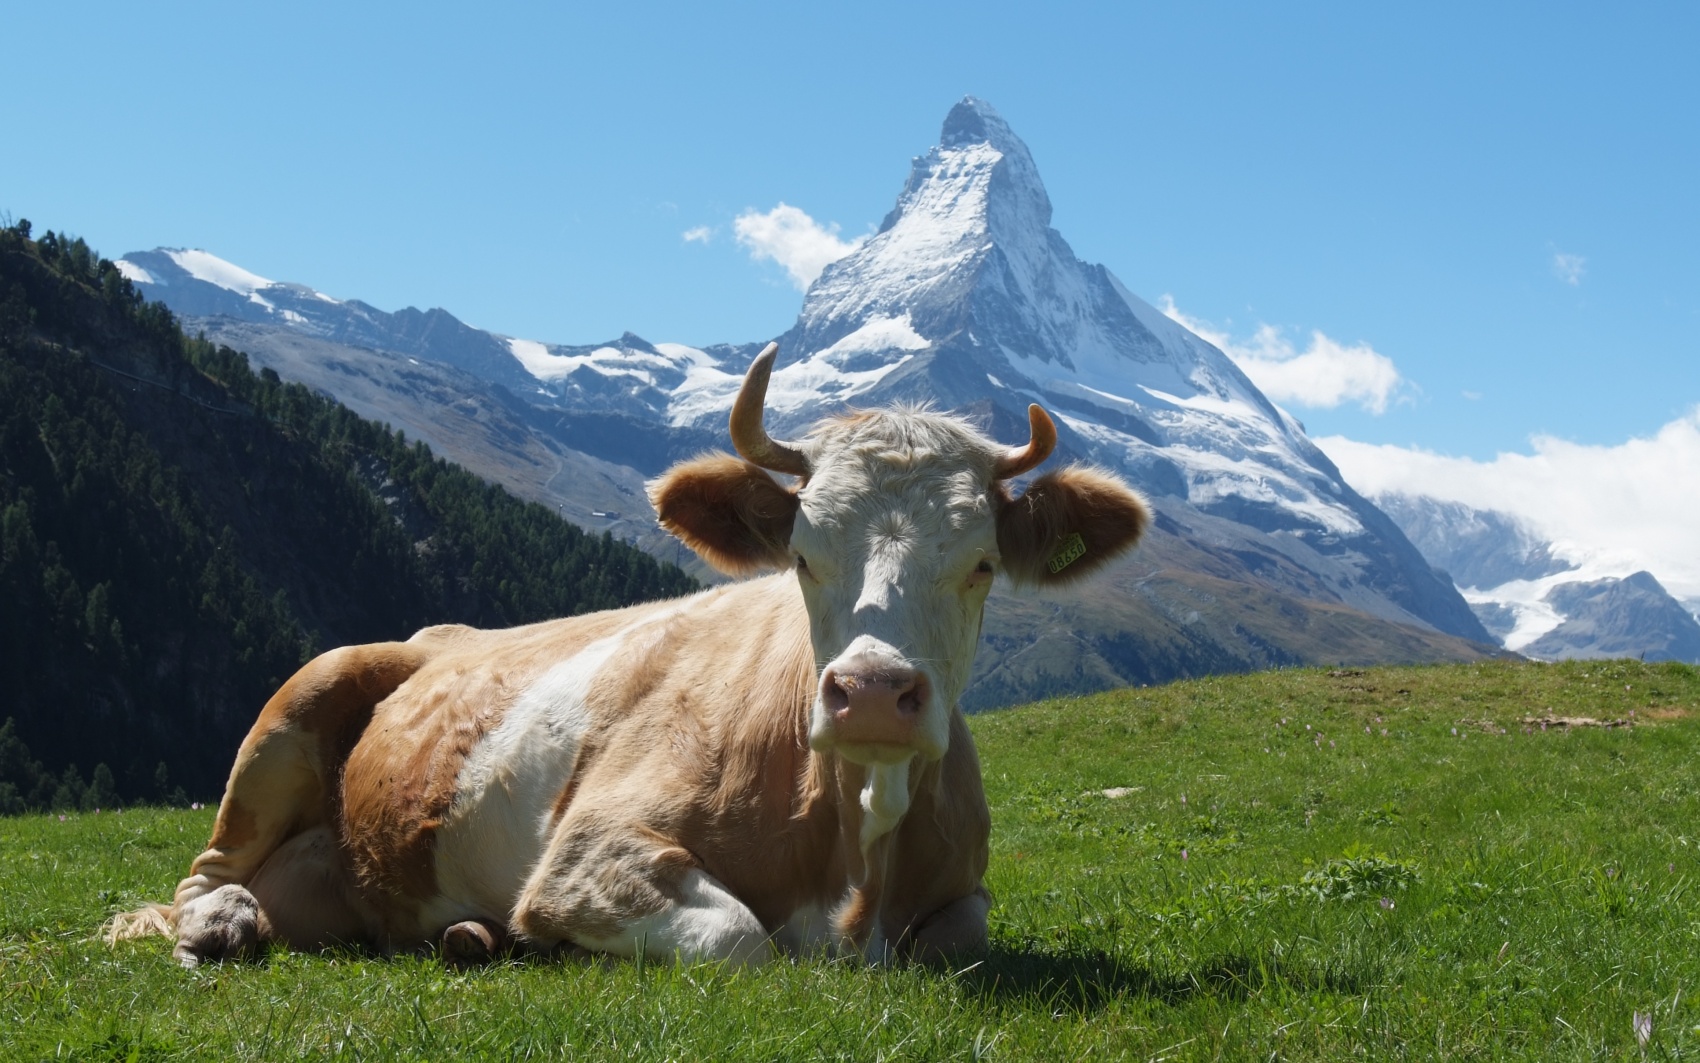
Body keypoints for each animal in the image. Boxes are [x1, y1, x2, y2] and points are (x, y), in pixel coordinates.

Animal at [109, 343, 1156, 966]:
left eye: (981, 564)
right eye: (802, 556)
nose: (869, 692)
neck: (855, 852)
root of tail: (431, 633)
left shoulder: (963, 891)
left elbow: (963, 933)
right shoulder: (586, 853)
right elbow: (743, 938)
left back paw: (462, 931)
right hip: (293, 707)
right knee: (201, 872)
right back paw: (225, 922)